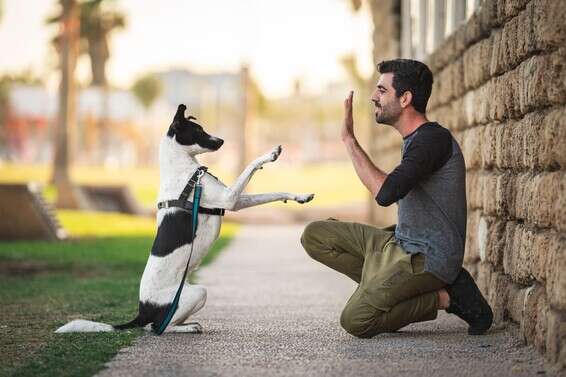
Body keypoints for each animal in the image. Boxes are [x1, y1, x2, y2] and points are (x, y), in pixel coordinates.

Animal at [54, 104, 316, 334]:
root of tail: (142, 310)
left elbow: (274, 193)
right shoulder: (229, 198)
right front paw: (270, 155)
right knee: (156, 328)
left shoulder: (235, 202)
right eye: (198, 131)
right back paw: (186, 328)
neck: (186, 171)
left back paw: (189, 324)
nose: (221, 141)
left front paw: (300, 196)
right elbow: (251, 166)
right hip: (198, 293)